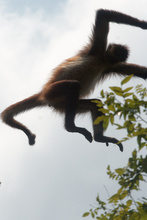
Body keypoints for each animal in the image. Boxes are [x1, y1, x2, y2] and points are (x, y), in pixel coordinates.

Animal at [0, 9, 147, 152]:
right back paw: (71, 127)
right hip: (53, 91)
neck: (103, 60)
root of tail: (42, 93)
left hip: (63, 104)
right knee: (74, 85)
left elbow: (142, 72)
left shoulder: (111, 66)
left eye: (122, 56)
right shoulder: (97, 49)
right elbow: (103, 15)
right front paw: (143, 24)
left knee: (95, 104)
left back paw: (99, 138)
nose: (119, 56)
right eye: (118, 52)